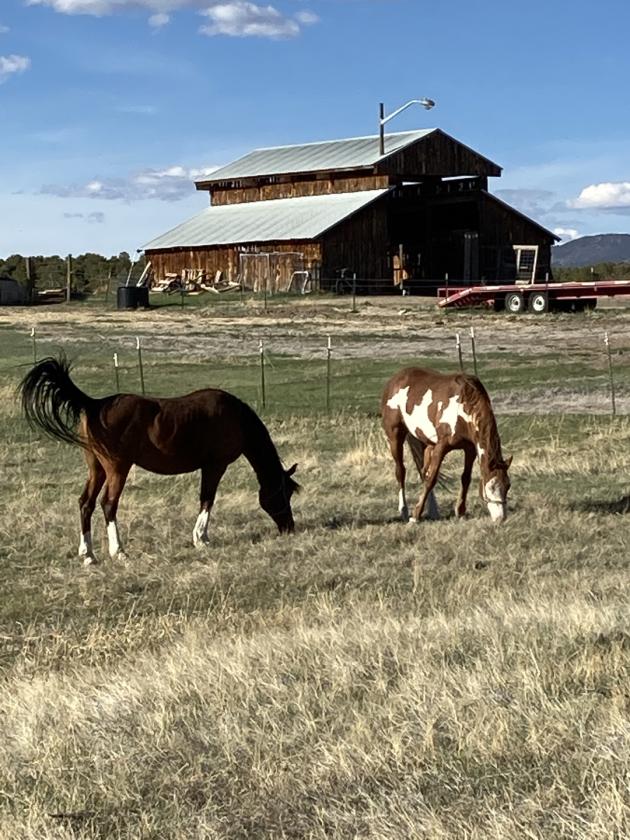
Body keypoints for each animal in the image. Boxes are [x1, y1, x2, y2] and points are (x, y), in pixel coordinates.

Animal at [20, 356, 299, 565]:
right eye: (283, 492)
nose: (289, 527)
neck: (236, 419)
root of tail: (95, 404)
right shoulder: (215, 466)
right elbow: (207, 499)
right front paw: (201, 539)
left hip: (97, 469)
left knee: (85, 503)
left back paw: (88, 555)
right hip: (117, 469)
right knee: (108, 504)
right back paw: (119, 552)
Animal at [381, 367, 511, 523]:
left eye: (508, 486)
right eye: (491, 487)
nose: (501, 518)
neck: (462, 407)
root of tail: (395, 380)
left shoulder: (470, 450)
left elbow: (465, 478)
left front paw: (460, 511)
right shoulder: (441, 447)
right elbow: (432, 479)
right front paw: (415, 516)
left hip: (424, 442)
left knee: (423, 471)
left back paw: (432, 510)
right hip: (395, 437)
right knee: (401, 471)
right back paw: (404, 510)